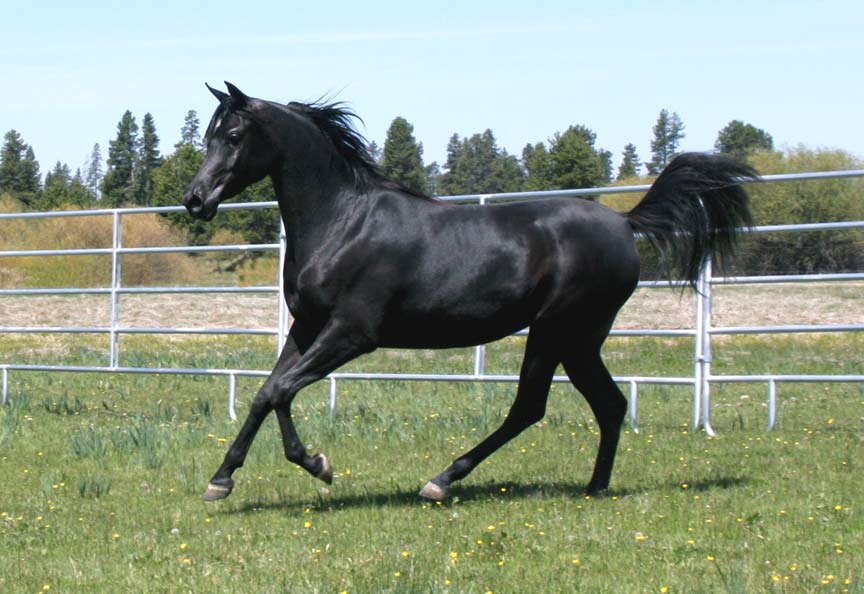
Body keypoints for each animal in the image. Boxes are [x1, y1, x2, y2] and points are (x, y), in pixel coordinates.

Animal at [183, 82, 755, 502]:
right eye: (209, 134)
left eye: (232, 134)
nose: (195, 199)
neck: (344, 222)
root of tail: (624, 222)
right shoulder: (306, 329)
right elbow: (266, 393)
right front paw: (221, 480)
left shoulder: (352, 333)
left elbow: (281, 390)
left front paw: (317, 465)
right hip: (577, 340)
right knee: (606, 405)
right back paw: (593, 487)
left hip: (559, 330)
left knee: (532, 407)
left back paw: (441, 481)